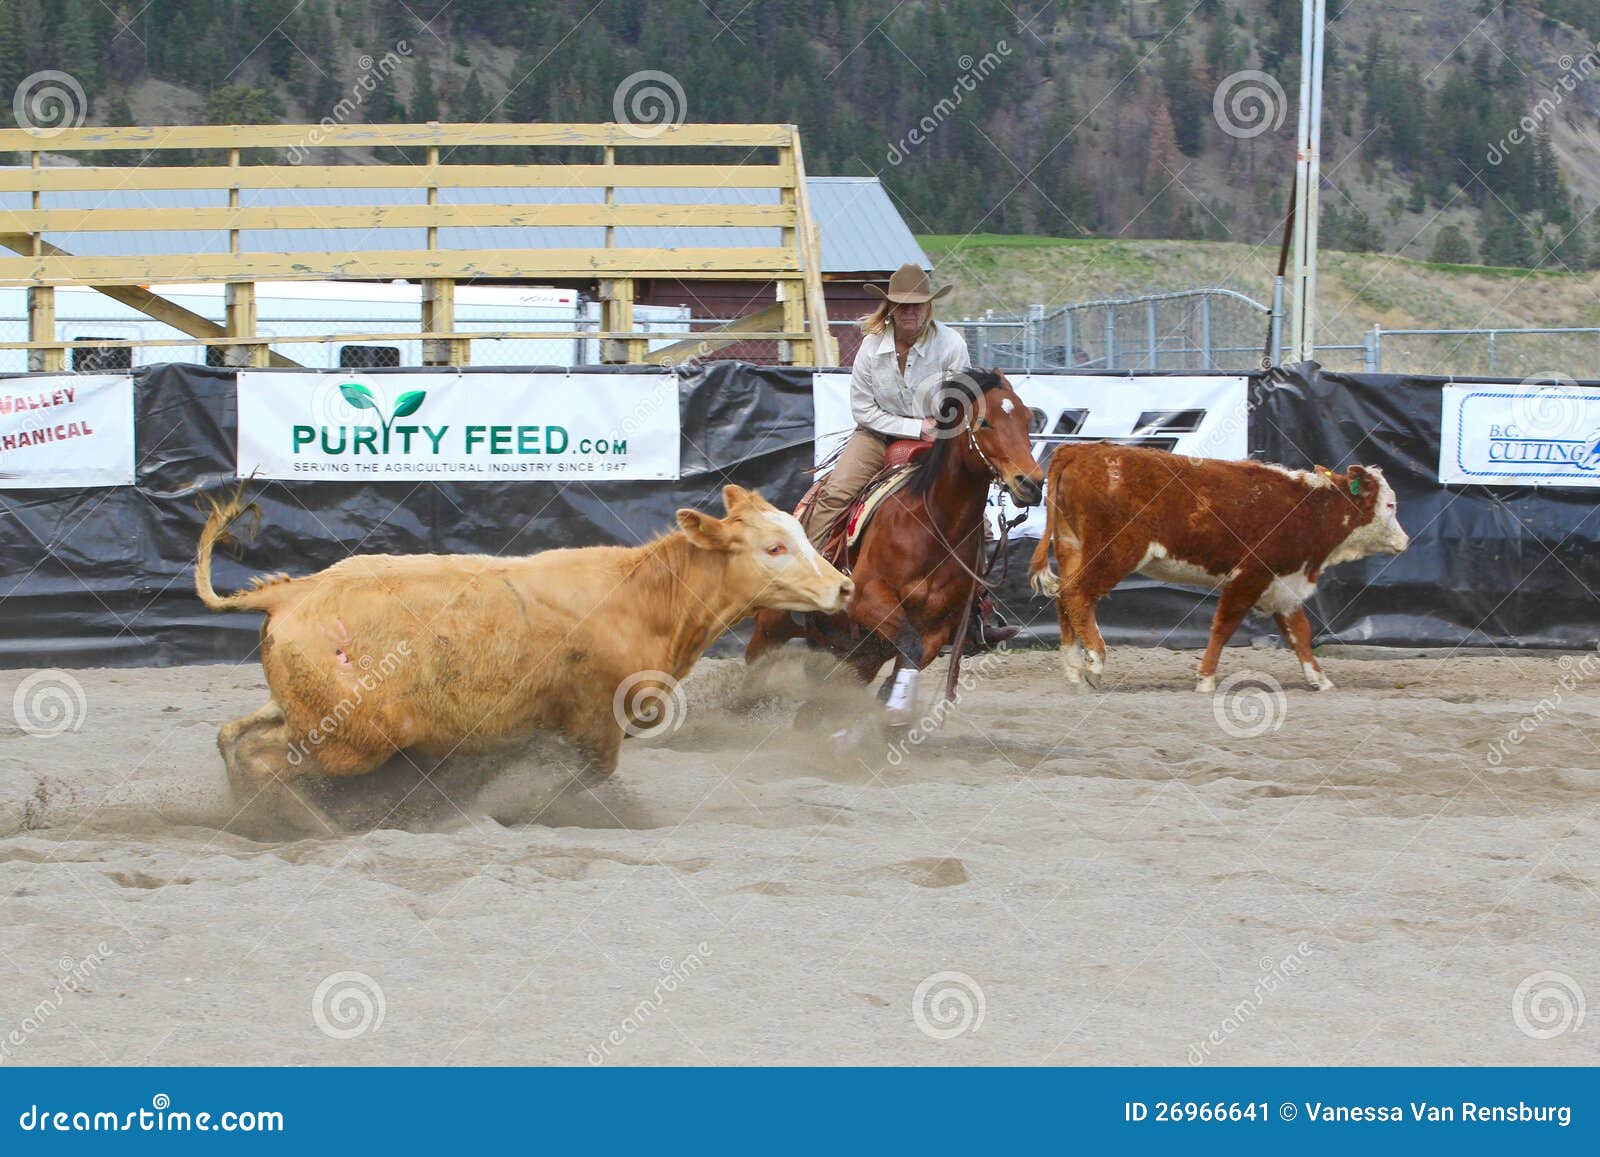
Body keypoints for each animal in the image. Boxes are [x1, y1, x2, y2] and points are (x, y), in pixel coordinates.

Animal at [745, 369, 1044, 720]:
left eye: (1027, 419)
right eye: (984, 422)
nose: (1031, 483)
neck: (933, 527)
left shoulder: (936, 628)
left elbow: (908, 658)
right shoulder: (866, 597)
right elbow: (908, 646)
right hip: (773, 625)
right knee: (753, 671)